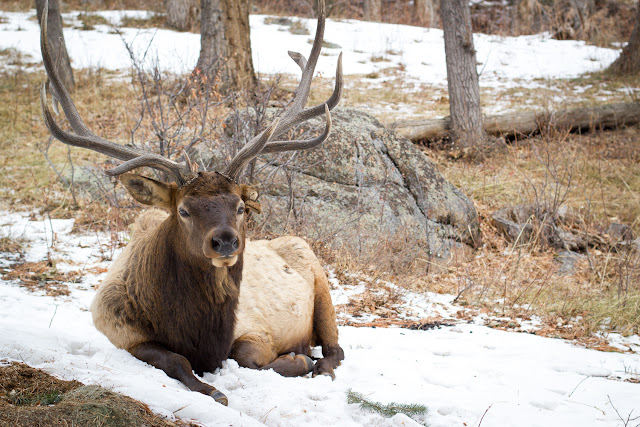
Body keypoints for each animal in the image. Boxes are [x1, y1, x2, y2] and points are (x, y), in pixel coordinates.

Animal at [38, 0, 344, 406]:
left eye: (240, 207)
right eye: (183, 210)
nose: (226, 241)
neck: (197, 333)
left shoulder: (255, 328)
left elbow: (246, 355)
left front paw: (297, 358)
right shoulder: (120, 331)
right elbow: (176, 360)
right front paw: (214, 391)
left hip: (321, 283)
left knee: (335, 349)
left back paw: (318, 364)